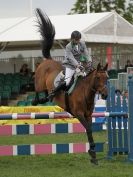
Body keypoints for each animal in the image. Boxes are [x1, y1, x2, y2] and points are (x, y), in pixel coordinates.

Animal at [33, 9, 108, 165]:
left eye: (107, 78)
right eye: (98, 78)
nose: (105, 95)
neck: (86, 92)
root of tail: (48, 60)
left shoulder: (88, 114)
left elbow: (89, 130)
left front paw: (93, 154)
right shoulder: (79, 114)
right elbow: (88, 130)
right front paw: (93, 153)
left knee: (46, 93)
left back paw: (46, 98)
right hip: (39, 81)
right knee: (37, 90)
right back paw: (36, 101)